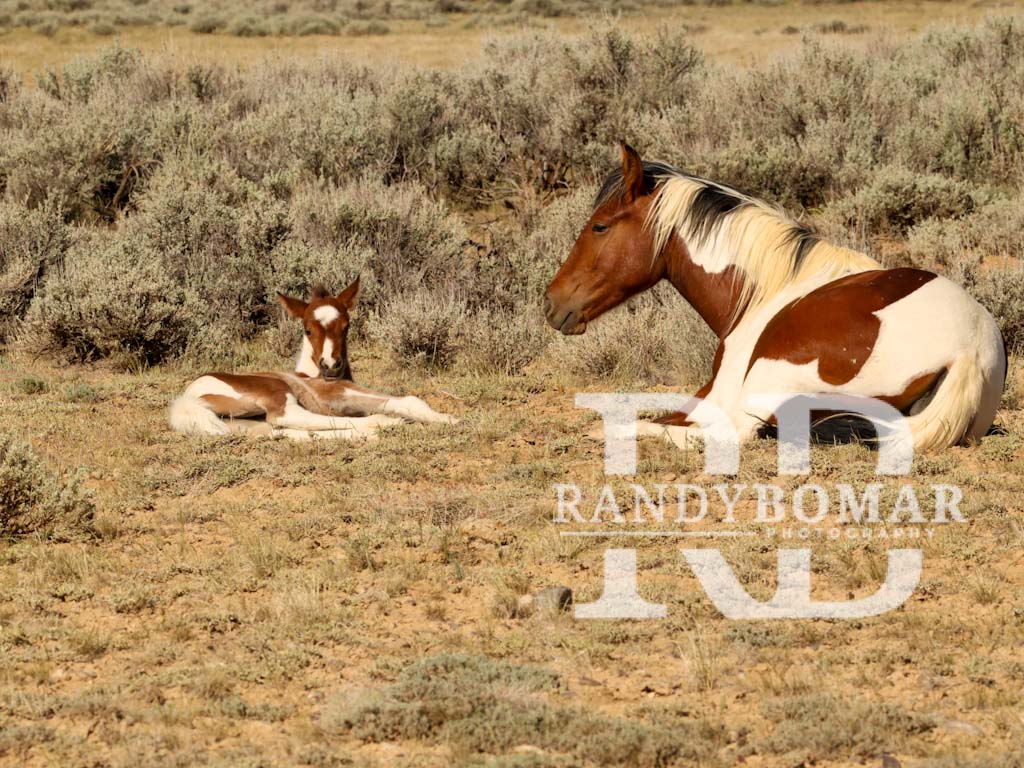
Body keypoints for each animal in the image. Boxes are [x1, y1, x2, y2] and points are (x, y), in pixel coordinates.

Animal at [169, 278, 457, 440]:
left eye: (346, 326)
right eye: (308, 329)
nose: (330, 366)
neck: (310, 375)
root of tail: (187, 398)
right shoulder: (335, 394)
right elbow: (407, 400)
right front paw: (449, 419)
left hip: (240, 425)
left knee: (285, 432)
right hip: (279, 395)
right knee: (289, 418)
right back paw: (384, 424)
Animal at [544, 144, 1006, 451]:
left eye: (599, 226)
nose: (552, 303)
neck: (763, 292)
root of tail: (968, 351)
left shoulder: (718, 396)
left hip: (768, 374)